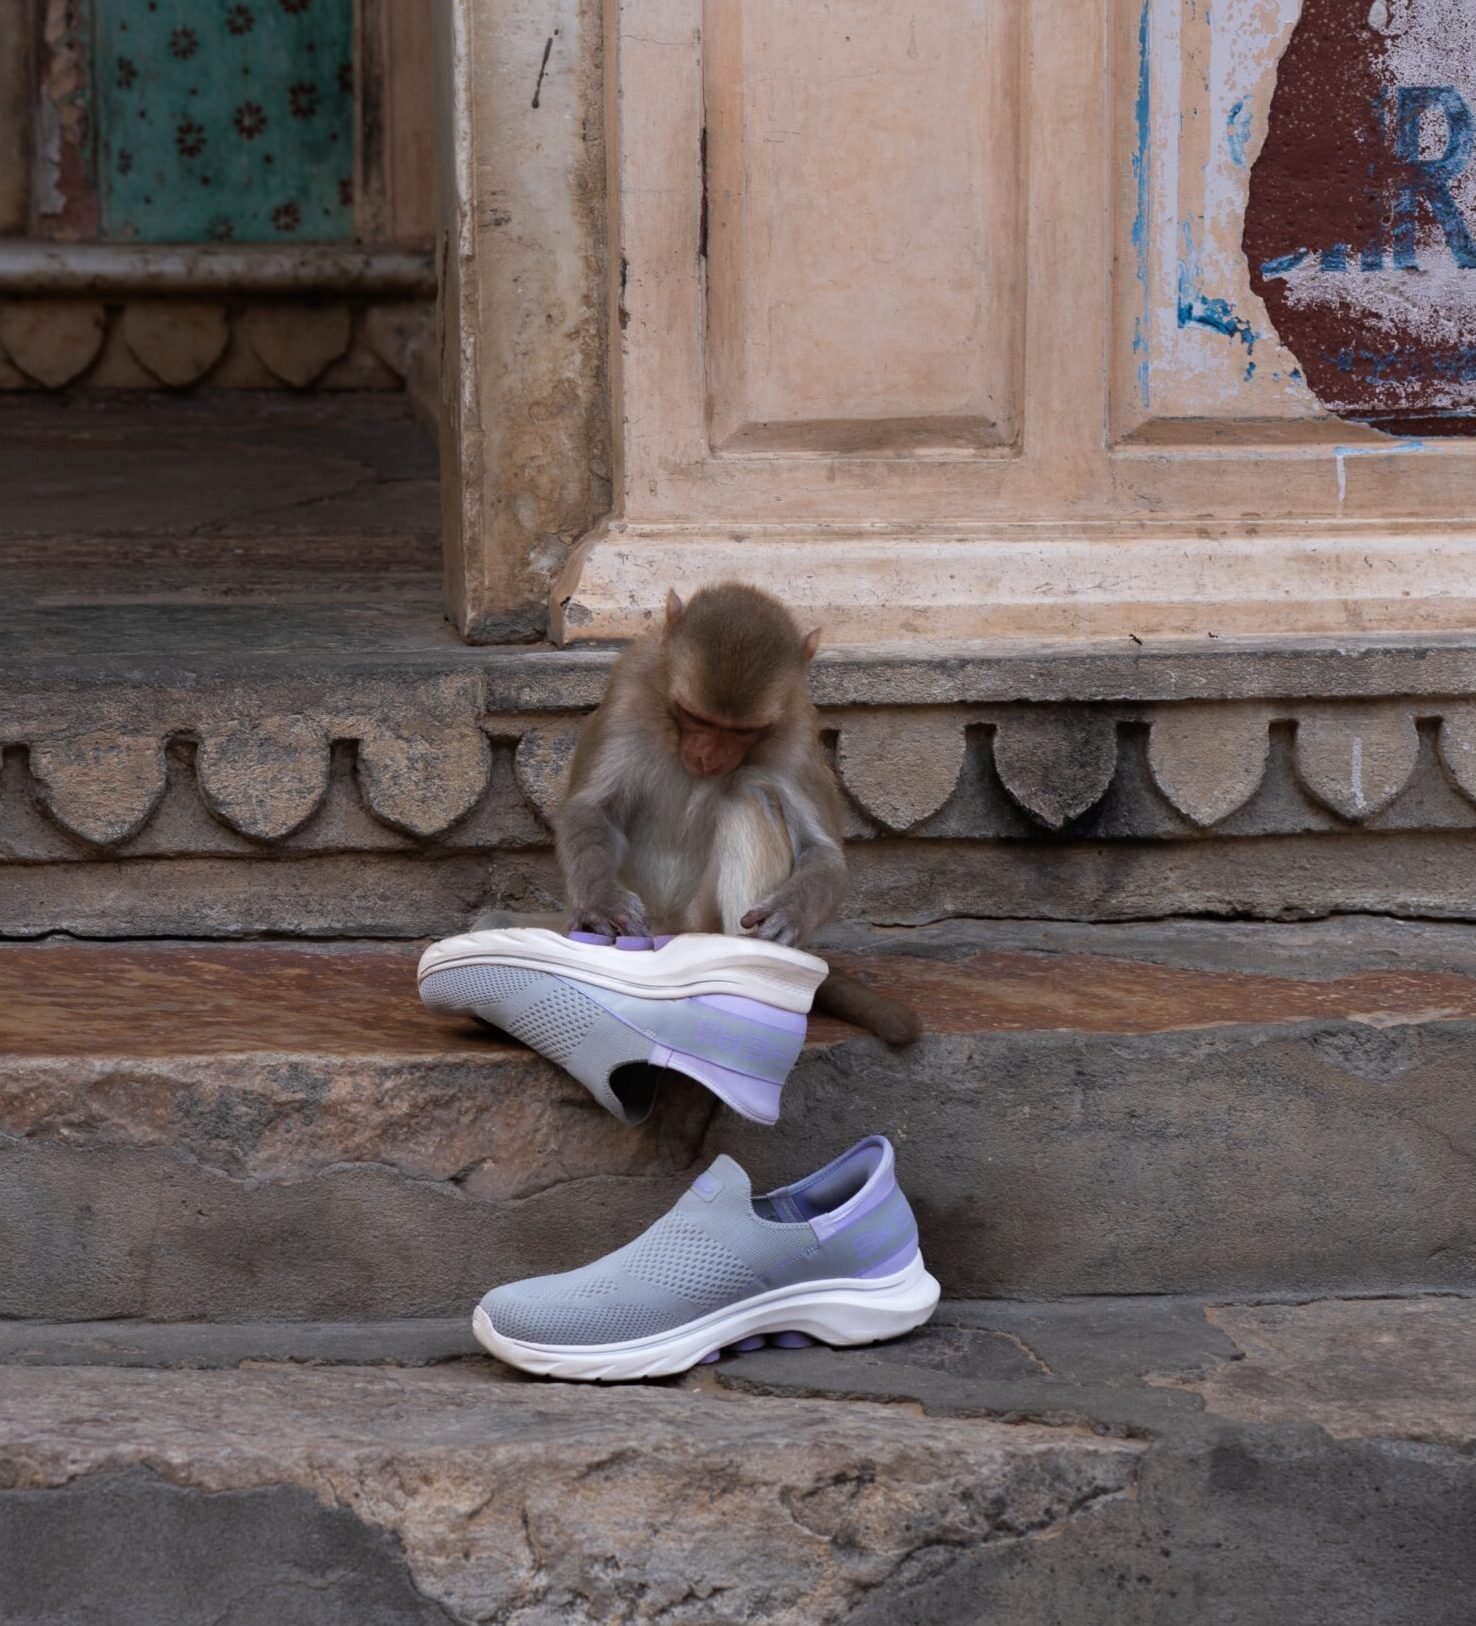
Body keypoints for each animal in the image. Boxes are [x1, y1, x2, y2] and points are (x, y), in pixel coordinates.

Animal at [548, 581, 920, 1045]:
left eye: (742, 731)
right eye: (695, 716)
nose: (709, 757)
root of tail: (673, 930)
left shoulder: (795, 725)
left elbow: (822, 851)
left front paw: (789, 913)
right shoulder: (629, 688)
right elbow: (591, 808)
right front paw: (602, 903)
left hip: (700, 922)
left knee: (746, 796)